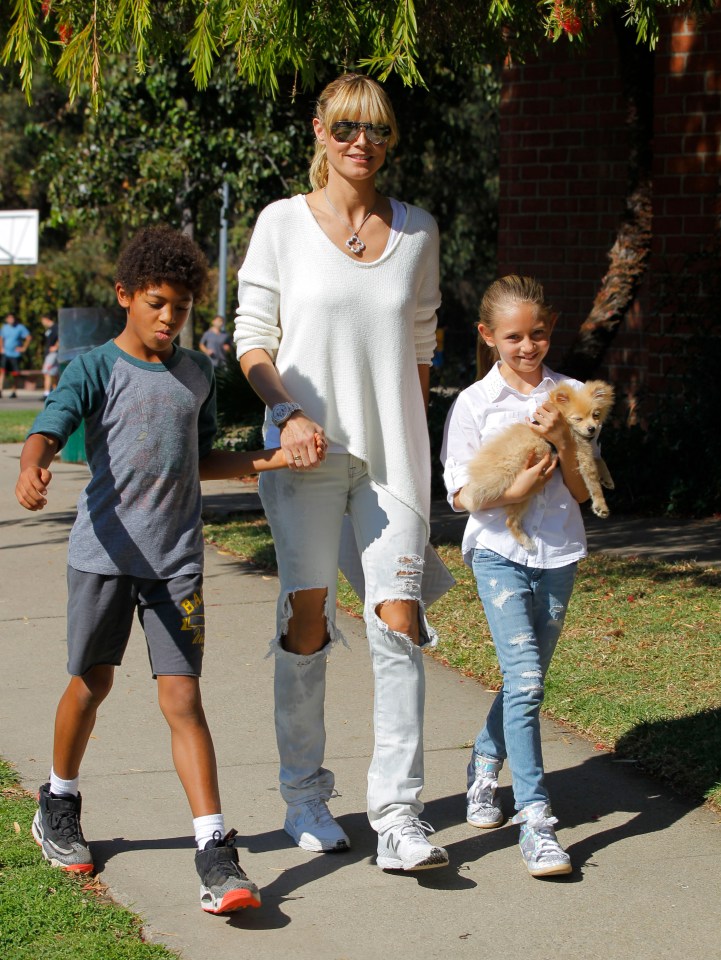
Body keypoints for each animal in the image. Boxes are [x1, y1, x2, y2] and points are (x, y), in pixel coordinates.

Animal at [458, 378, 616, 552]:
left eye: (596, 415)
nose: (592, 429)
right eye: (578, 419)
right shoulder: (582, 452)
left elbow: (599, 460)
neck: (567, 426)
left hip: (521, 495)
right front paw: (601, 506)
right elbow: (593, 481)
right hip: (517, 488)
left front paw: (607, 479)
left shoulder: (582, 451)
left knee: (510, 520)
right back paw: (526, 542)